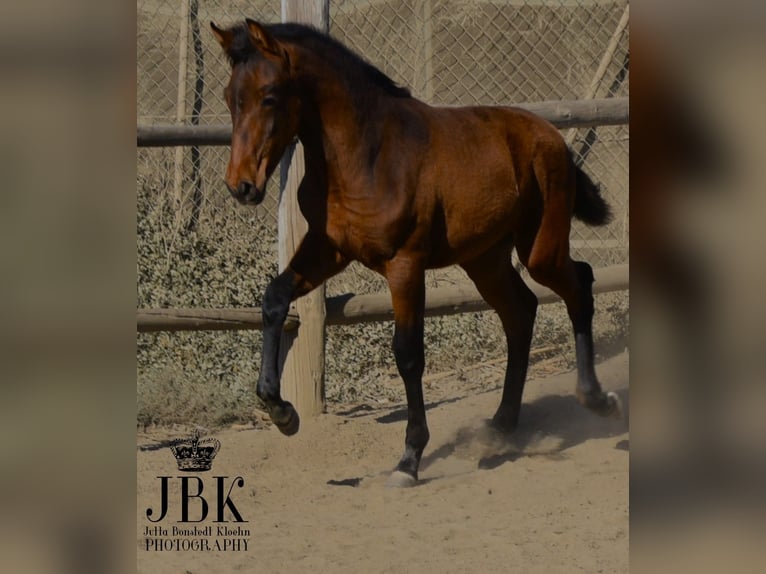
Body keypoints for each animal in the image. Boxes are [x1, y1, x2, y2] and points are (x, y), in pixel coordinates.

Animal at [210, 19, 624, 486]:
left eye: (269, 96)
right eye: (229, 97)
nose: (241, 186)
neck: (366, 155)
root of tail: (552, 136)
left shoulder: (404, 263)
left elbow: (408, 353)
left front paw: (409, 459)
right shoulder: (328, 248)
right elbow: (274, 299)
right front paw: (283, 413)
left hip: (540, 248)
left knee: (579, 284)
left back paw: (598, 400)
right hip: (485, 259)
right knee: (521, 311)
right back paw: (501, 425)